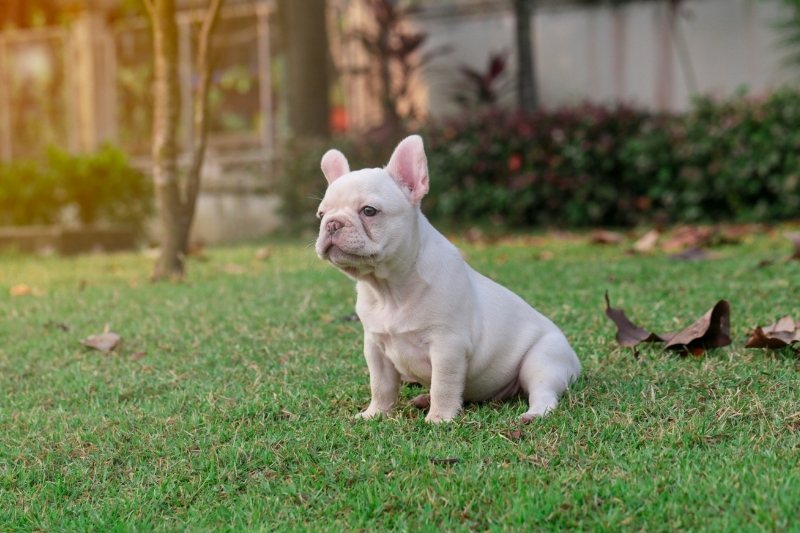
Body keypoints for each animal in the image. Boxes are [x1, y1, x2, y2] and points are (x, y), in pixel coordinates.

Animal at [314, 135, 580, 422]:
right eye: (321, 214)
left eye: (369, 211)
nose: (332, 223)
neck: (388, 288)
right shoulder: (375, 348)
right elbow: (381, 385)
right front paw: (375, 414)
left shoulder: (447, 346)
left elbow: (443, 384)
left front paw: (440, 419)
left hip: (542, 360)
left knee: (544, 392)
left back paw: (533, 414)